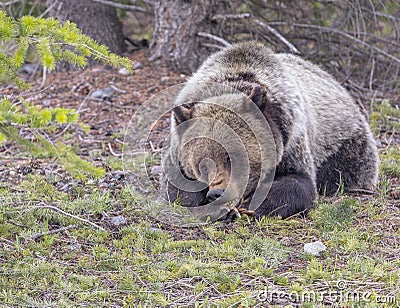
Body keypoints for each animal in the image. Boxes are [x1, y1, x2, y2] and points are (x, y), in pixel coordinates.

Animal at [160, 41, 378, 221]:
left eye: (233, 157)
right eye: (202, 165)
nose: (218, 192)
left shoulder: (291, 137)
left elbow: (300, 182)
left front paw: (252, 204)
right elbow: (176, 187)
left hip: (345, 143)